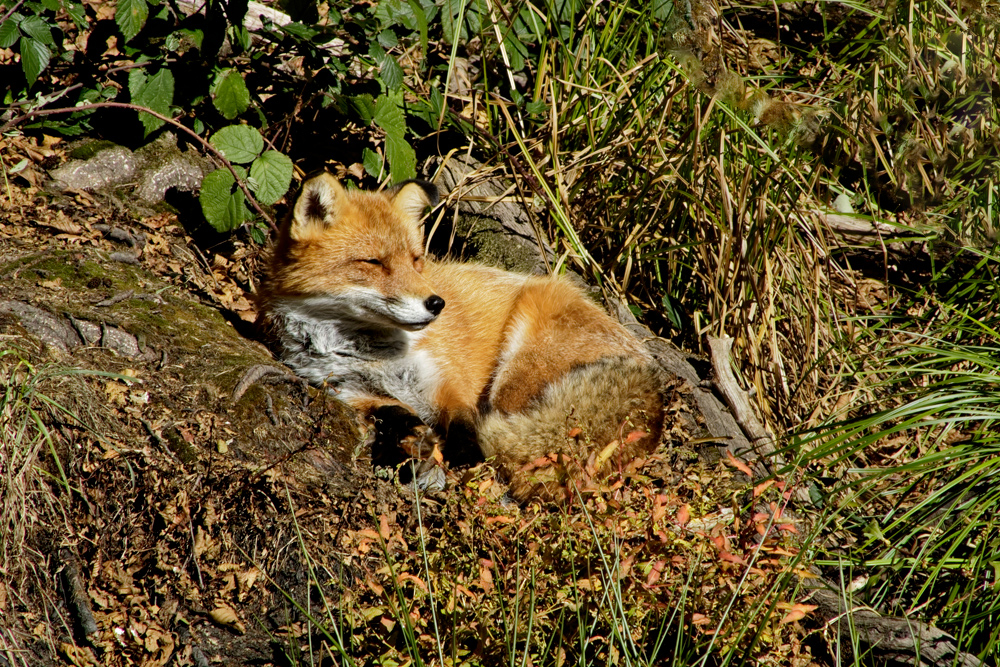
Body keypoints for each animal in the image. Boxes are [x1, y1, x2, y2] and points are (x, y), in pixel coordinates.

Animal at [259, 172, 665, 501]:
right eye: (373, 262)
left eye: (416, 260)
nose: (436, 303)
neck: (366, 353)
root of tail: (650, 376)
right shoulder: (343, 387)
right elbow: (393, 414)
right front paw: (403, 448)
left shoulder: (449, 381)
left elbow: (464, 424)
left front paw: (457, 456)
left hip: (513, 379)